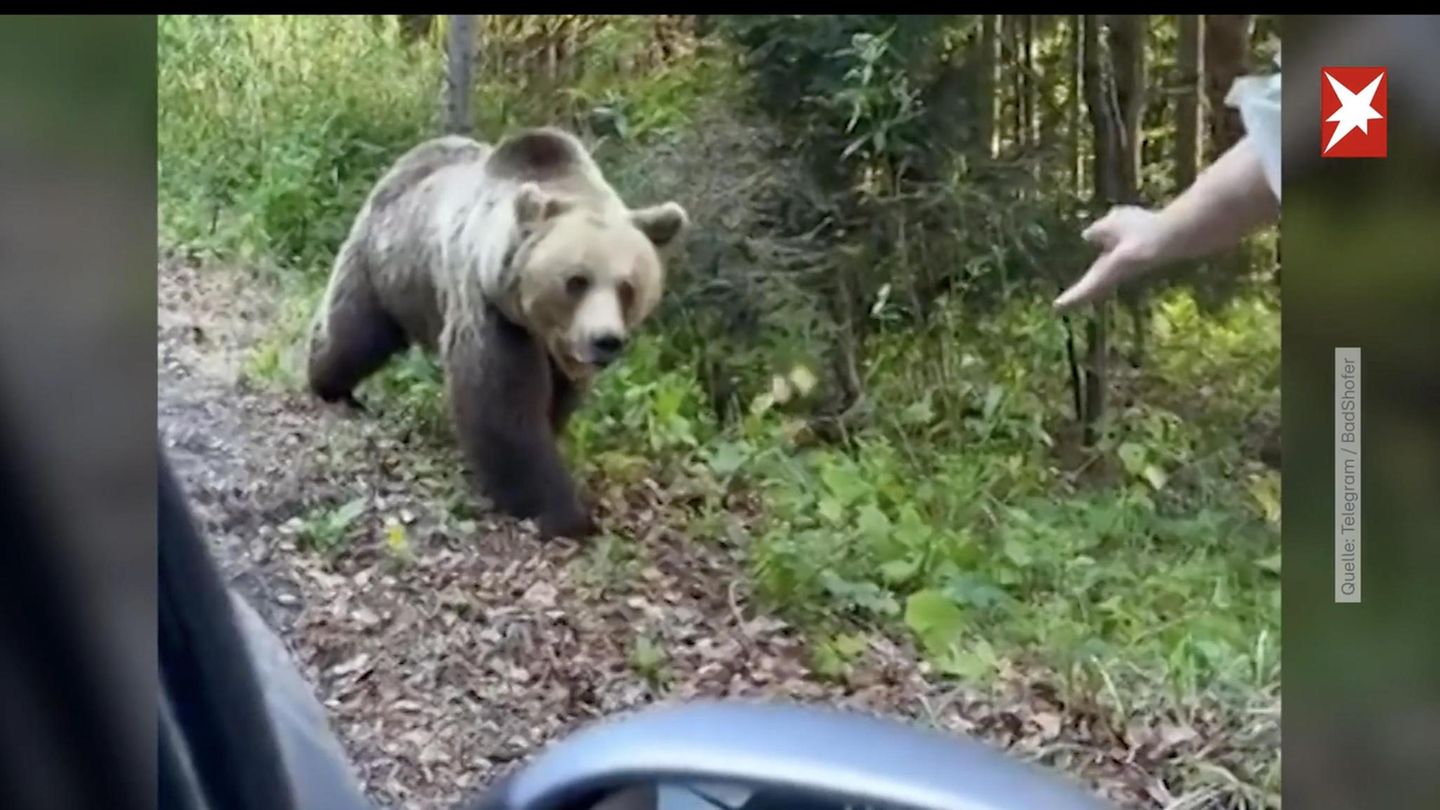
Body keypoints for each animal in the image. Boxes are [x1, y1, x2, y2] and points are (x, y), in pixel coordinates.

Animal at [302, 127, 685, 536]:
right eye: (576, 281)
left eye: (628, 287)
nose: (605, 341)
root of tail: (411, 157)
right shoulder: (491, 308)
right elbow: (500, 405)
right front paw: (563, 511)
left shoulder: (558, 348)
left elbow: (556, 399)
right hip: (387, 261)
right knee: (354, 328)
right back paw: (329, 384)